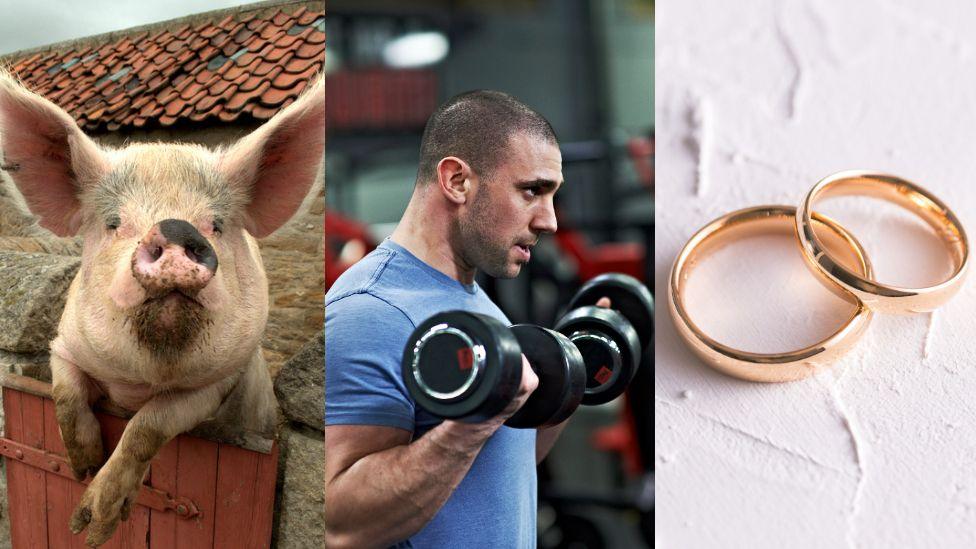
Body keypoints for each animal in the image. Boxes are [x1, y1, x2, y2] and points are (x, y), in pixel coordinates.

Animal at [0, 69, 326, 544]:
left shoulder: (218, 382)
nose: (175, 228)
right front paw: (82, 469)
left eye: (217, 224)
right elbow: (64, 394)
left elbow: (148, 425)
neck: (142, 381)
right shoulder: (64, 345)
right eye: (114, 223)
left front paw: (93, 525)